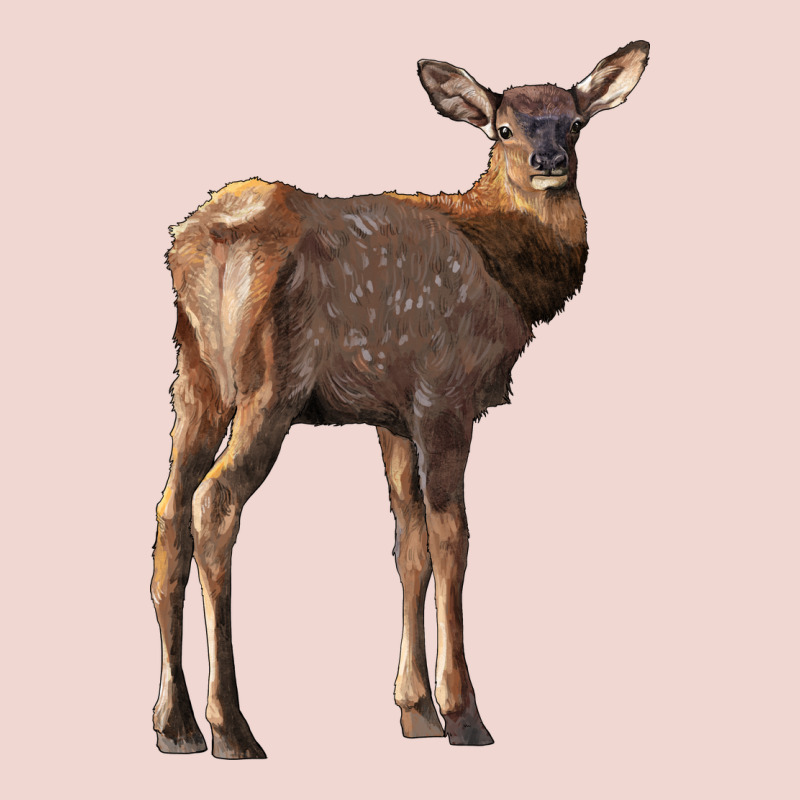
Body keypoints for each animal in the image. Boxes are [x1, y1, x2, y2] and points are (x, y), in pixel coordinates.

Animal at [151, 41, 649, 759]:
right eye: (503, 129)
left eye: (575, 123)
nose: (549, 162)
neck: (505, 271)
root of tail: (206, 239)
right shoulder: (446, 392)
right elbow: (452, 537)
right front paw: (463, 714)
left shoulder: (390, 412)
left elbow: (407, 543)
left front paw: (414, 710)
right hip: (270, 382)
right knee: (214, 502)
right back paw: (232, 726)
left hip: (194, 376)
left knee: (169, 511)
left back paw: (175, 723)